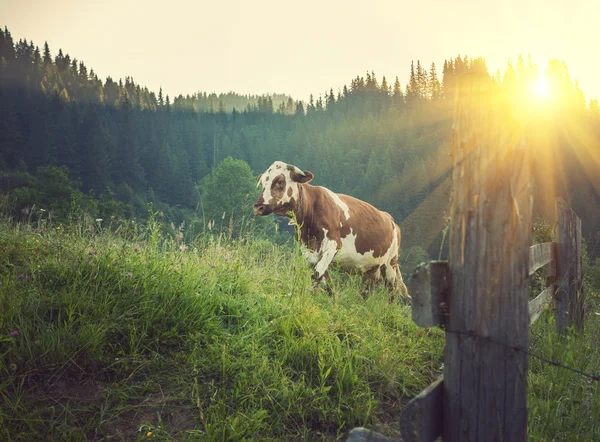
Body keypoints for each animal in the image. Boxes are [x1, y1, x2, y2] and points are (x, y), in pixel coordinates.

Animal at [251, 161, 410, 302]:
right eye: (262, 183)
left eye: (279, 181)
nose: (258, 207)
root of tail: (392, 221)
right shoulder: (309, 252)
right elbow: (325, 281)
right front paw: (333, 302)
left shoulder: (332, 245)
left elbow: (317, 274)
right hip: (372, 267)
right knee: (368, 288)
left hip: (390, 264)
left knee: (391, 291)